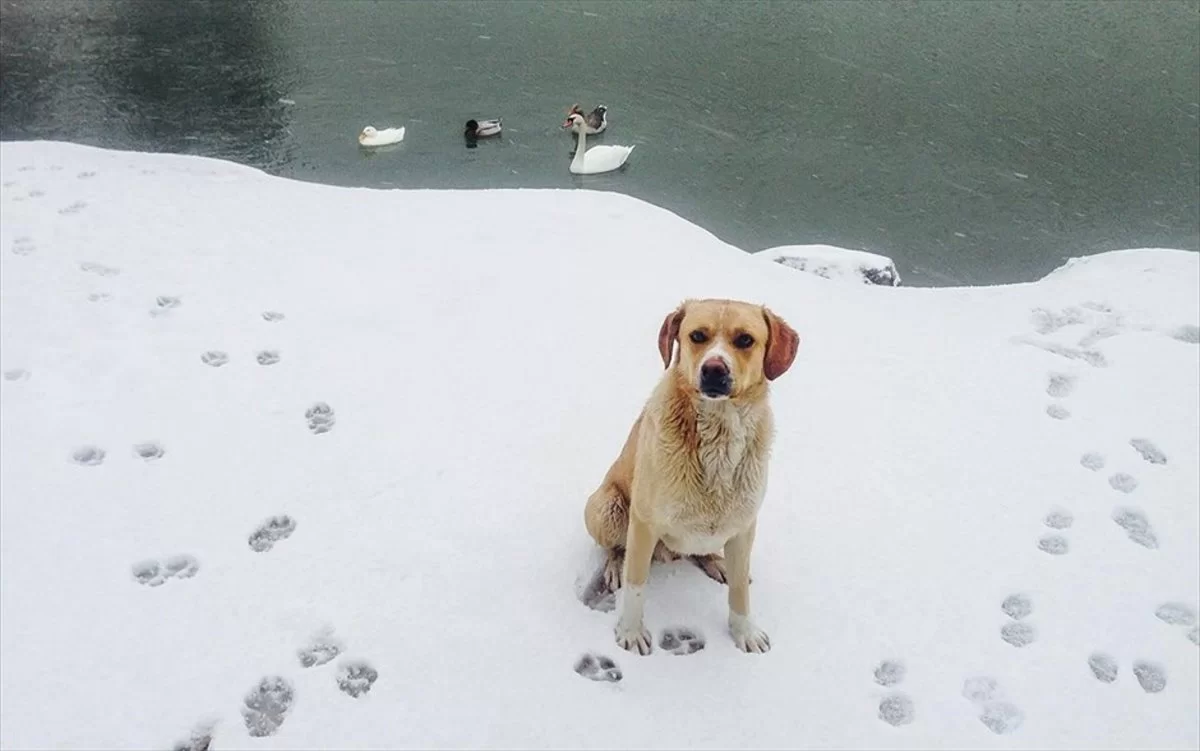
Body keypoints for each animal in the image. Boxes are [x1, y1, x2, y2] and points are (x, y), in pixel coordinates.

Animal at [580, 296, 796, 647]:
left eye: (745, 340)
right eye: (697, 336)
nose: (714, 369)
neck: (718, 435)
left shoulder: (744, 525)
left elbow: (740, 592)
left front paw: (744, 632)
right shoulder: (643, 522)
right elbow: (636, 585)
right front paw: (631, 633)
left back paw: (716, 563)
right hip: (606, 506)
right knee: (616, 547)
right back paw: (613, 567)